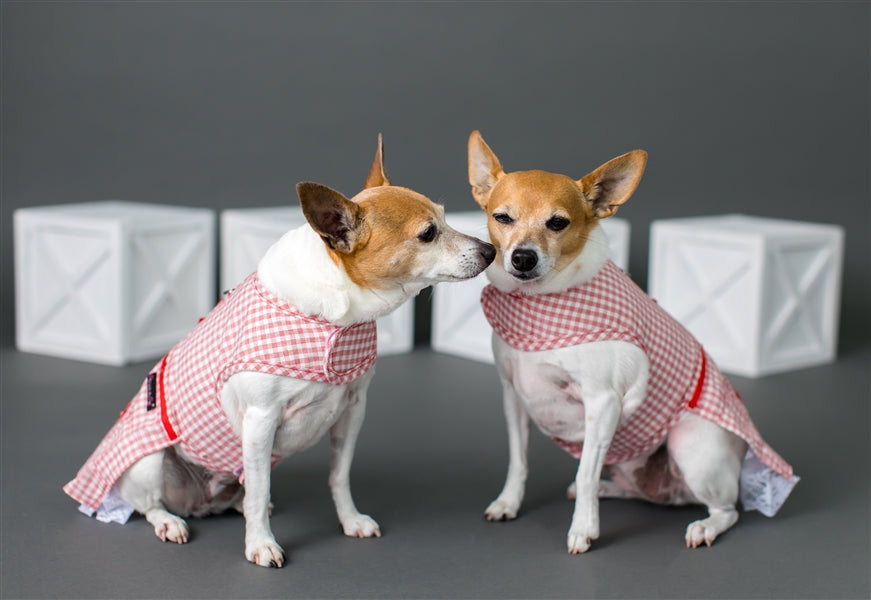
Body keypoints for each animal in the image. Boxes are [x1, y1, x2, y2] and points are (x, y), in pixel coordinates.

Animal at [65, 136, 498, 568]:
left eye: (446, 219)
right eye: (428, 234)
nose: (491, 250)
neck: (335, 319)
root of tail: (197, 503)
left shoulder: (352, 411)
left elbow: (338, 476)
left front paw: (350, 519)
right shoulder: (260, 422)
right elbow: (260, 490)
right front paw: (260, 543)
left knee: (237, 496)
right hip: (149, 463)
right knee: (152, 504)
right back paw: (170, 522)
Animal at [466, 130, 800, 552]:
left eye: (558, 223)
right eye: (502, 218)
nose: (523, 257)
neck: (539, 305)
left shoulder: (603, 403)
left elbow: (586, 470)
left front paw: (583, 529)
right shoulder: (513, 397)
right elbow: (519, 461)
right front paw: (509, 502)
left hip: (691, 447)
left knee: (727, 510)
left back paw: (704, 526)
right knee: (637, 490)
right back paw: (611, 490)